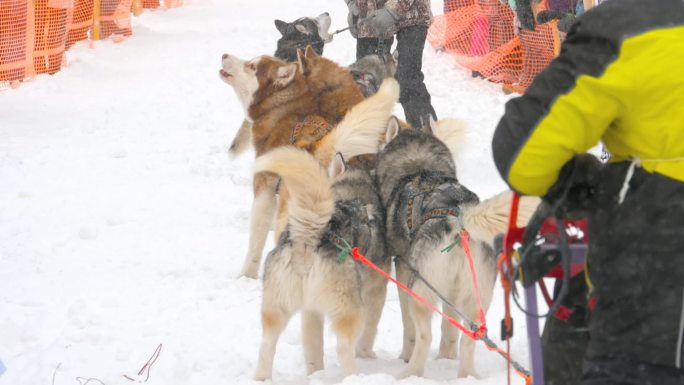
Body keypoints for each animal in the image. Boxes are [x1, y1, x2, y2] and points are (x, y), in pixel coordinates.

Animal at [251, 146, 390, 378]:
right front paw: (367, 354)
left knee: (266, 346)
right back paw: (354, 377)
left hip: (277, 308)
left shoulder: (311, 309)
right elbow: (371, 329)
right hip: (350, 310)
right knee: (344, 347)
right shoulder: (377, 290)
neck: (353, 192)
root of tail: (310, 236)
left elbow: (313, 346)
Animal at [374, 118, 540, 376]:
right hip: (474, 298)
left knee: (424, 336)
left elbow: (408, 328)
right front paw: (446, 358)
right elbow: (450, 330)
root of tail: (459, 219)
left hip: (421, 291)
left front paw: (405, 356)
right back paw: (467, 375)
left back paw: (409, 373)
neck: (420, 168)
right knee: (469, 339)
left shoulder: (403, 271)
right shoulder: (452, 292)